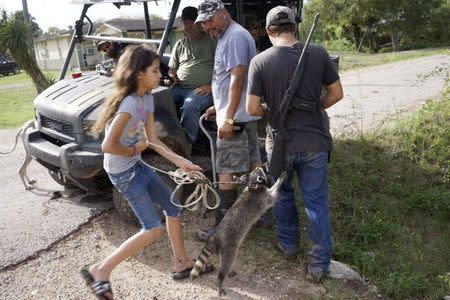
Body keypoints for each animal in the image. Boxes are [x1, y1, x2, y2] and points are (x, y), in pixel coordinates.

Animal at [190, 168, 288, 296]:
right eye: (261, 171)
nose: (264, 167)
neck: (252, 186)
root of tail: (215, 237)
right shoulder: (262, 197)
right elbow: (272, 195)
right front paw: (278, 181)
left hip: (225, 250)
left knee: (226, 262)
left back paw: (228, 272)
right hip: (228, 247)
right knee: (227, 263)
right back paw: (220, 279)